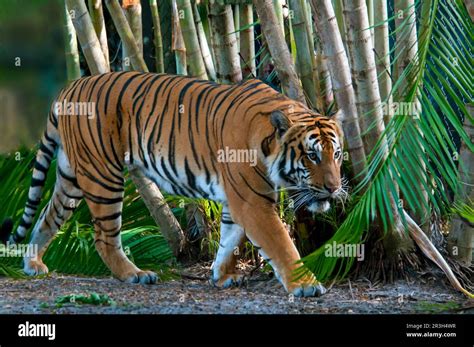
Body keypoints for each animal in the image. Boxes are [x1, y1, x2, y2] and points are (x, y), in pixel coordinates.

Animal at [1, 72, 346, 298]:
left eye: (337, 154)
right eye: (312, 156)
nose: (333, 187)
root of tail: (69, 87)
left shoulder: (238, 199)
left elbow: (229, 238)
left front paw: (221, 275)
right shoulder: (252, 201)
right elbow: (281, 245)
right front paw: (306, 285)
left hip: (72, 175)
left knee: (47, 216)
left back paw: (32, 263)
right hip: (103, 175)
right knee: (103, 236)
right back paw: (135, 274)